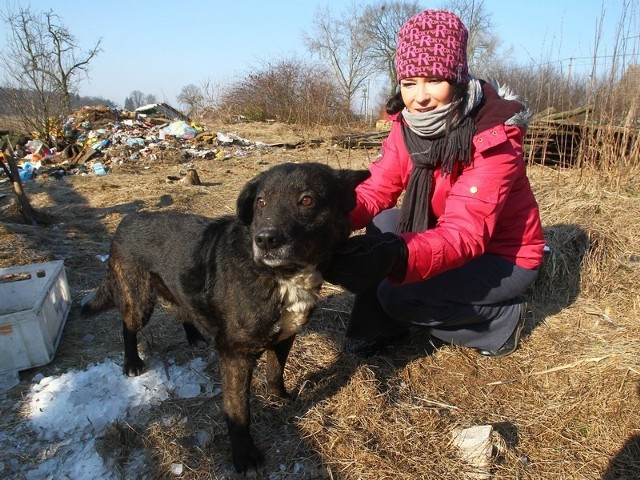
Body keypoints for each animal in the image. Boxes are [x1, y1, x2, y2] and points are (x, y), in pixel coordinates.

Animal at [82, 161, 368, 472]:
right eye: (261, 202)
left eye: (307, 200)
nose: (265, 239)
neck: (281, 275)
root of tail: (128, 219)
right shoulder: (235, 355)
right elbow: (238, 409)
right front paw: (244, 454)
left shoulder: (285, 335)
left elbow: (275, 372)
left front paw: (279, 398)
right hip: (139, 302)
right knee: (127, 326)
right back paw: (132, 362)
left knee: (183, 308)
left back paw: (194, 337)